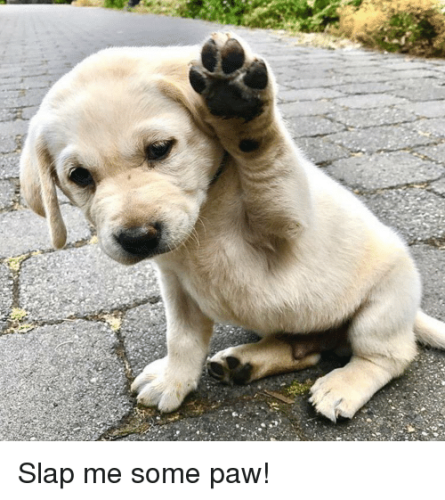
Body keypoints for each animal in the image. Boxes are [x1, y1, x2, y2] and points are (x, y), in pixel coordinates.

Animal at [20, 33, 445, 422]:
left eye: (160, 149)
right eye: (79, 176)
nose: (138, 239)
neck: (205, 216)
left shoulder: (289, 224)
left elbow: (267, 162)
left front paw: (240, 108)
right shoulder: (176, 284)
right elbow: (182, 338)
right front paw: (174, 378)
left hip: (384, 303)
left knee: (390, 356)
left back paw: (345, 383)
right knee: (304, 351)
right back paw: (246, 363)